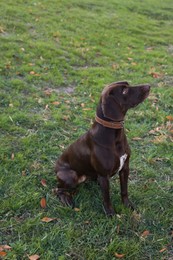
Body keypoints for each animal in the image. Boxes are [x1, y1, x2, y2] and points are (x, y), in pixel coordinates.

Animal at [55, 81, 150, 215]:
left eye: (128, 85)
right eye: (124, 91)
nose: (148, 86)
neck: (114, 137)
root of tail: (55, 167)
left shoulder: (125, 168)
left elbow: (124, 191)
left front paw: (127, 205)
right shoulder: (104, 176)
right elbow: (106, 197)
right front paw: (110, 213)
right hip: (70, 176)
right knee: (58, 189)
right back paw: (66, 200)